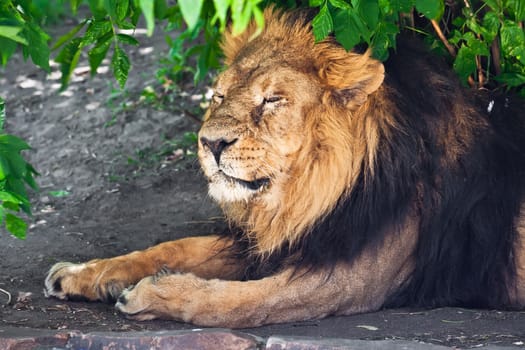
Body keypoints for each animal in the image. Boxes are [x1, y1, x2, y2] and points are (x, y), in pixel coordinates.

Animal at [45, 8, 524, 328]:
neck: (304, 194)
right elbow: (172, 247)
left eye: (272, 99)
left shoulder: (346, 280)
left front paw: (153, 292)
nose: (210, 143)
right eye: (218, 96)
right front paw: (83, 273)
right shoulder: (273, 242)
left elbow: (236, 303)